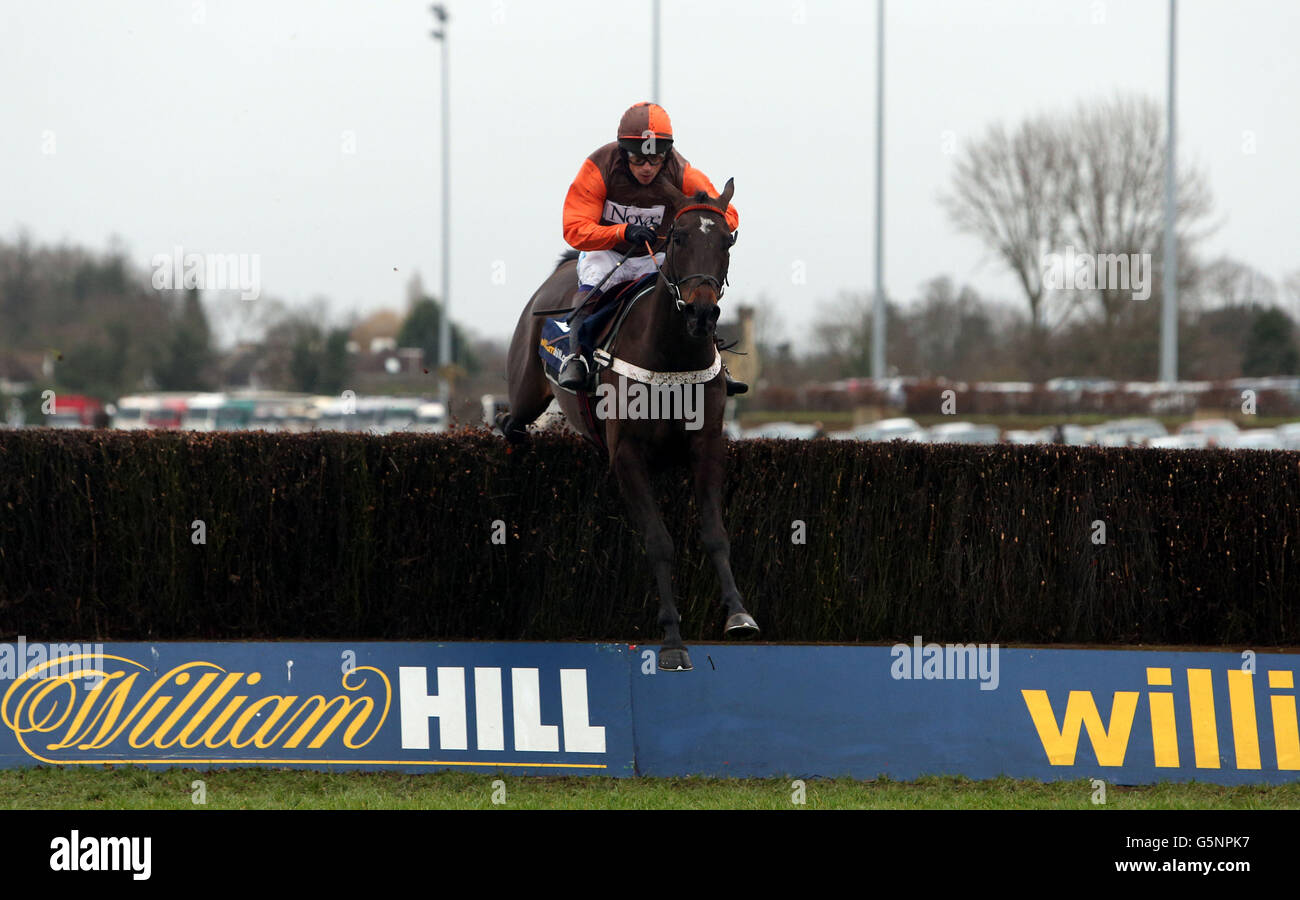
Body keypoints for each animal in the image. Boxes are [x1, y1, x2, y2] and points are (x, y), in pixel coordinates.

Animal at [496, 175, 759, 671]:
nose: (701, 313)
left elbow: (715, 535)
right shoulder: (629, 456)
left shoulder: (707, 448)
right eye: (678, 238)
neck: (672, 356)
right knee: (508, 423)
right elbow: (658, 542)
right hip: (525, 392)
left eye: (727, 241)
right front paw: (673, 639)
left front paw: (739, 614)